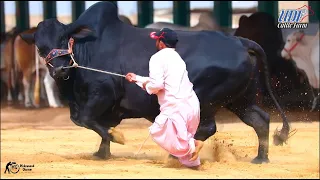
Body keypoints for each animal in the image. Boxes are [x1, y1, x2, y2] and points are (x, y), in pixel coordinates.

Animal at [20, 1, 292, 165]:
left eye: (65, 38)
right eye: (39, 46)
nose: (61, 69)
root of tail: (240, 42)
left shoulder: (101, 95)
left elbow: (86, 120)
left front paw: (116, 138)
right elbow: (93, 124)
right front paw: (101, 153)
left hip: (206, 101)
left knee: (207, 127)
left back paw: (176, 155)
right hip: (240, 100)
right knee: (260, 120)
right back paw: (261, 158)